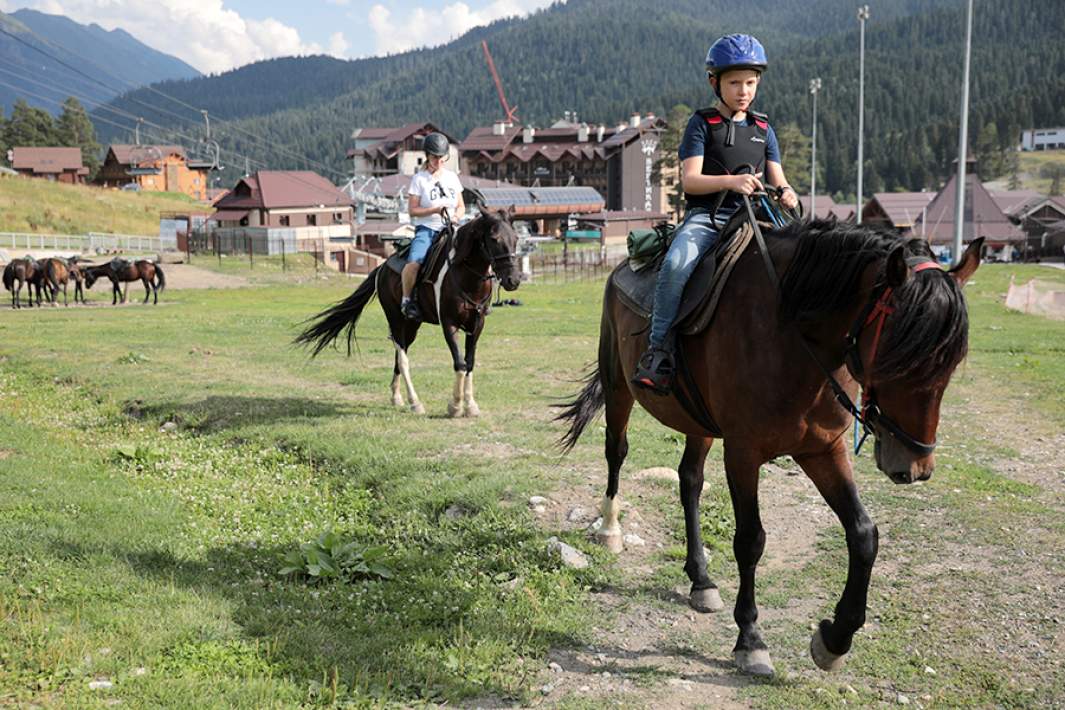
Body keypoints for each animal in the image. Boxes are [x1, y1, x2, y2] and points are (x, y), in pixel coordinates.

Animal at [293, 206, 521, 417]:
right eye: (494, 238)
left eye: (516, 238)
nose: (513, 280)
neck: (465, 274)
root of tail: (382, 267)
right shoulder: (449, 324)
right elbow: (460, 363)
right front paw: (455, 406)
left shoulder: (477, 324)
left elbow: (470, 363)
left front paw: (471, 405)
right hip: (395, 318)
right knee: (403, 359)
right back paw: (415, 402)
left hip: (412, 324)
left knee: (399, 354)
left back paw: (396, 397)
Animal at [558, 220, 979, 677]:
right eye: (899, 356)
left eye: (952, 362)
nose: (915, 465)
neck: (790, 333)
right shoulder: (743, 453)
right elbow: (751, 540)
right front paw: (751, 639)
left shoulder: (823, 450)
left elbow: (864, 534)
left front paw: (834, 639)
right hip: (619, 386)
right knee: (616, 452)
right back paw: (610, 529)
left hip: (699, 422)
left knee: (689, 481)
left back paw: (701, 579)